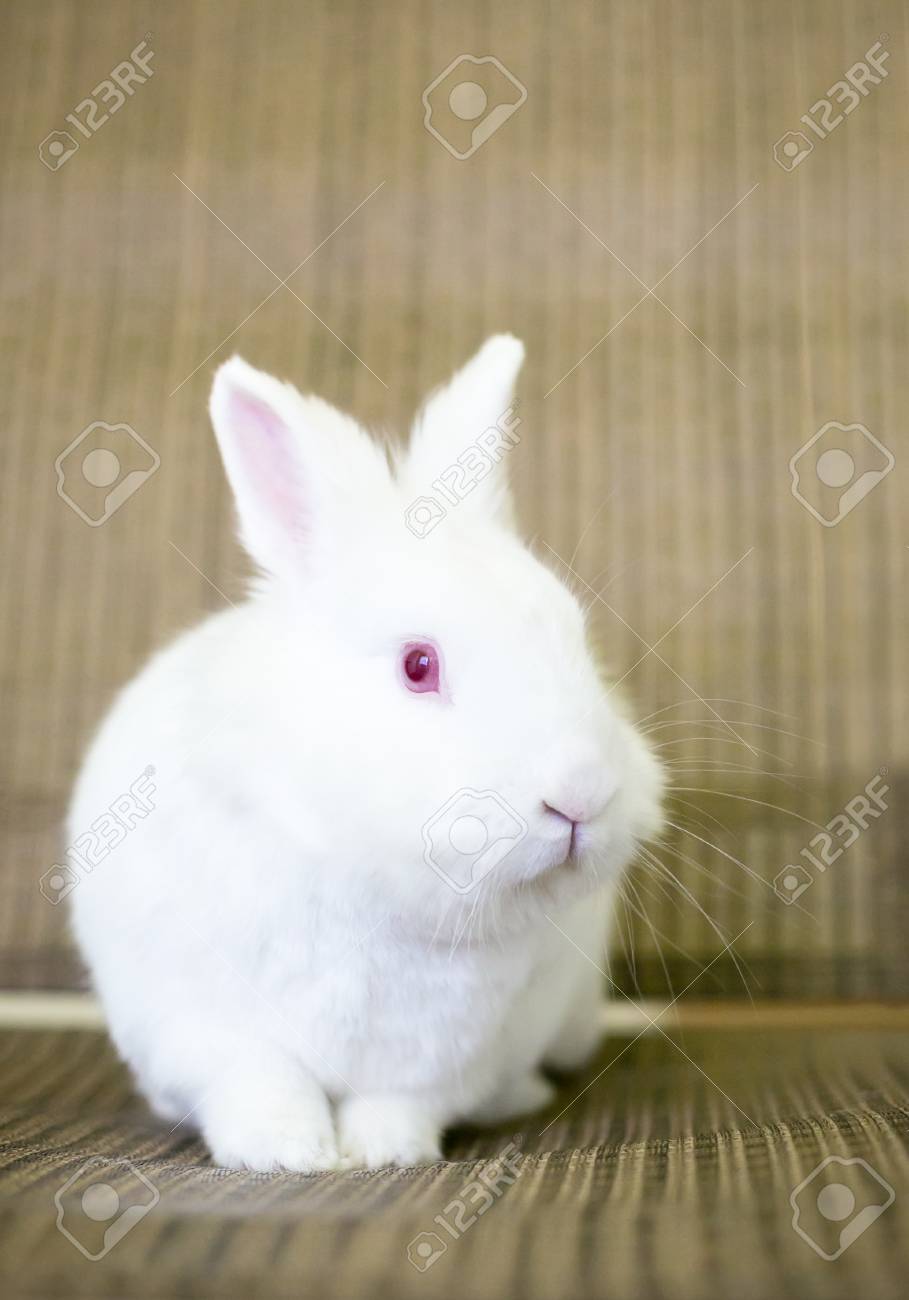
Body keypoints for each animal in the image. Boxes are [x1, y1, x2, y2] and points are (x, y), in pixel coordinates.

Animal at [69, 335, 660, 1170]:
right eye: (418, 665)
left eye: (577, 639)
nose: (579, 794)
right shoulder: (208, 1028)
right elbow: (261, 1082)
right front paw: (287, 1153)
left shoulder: (441, 1059)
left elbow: (400, 1102)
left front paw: (384, 1153)